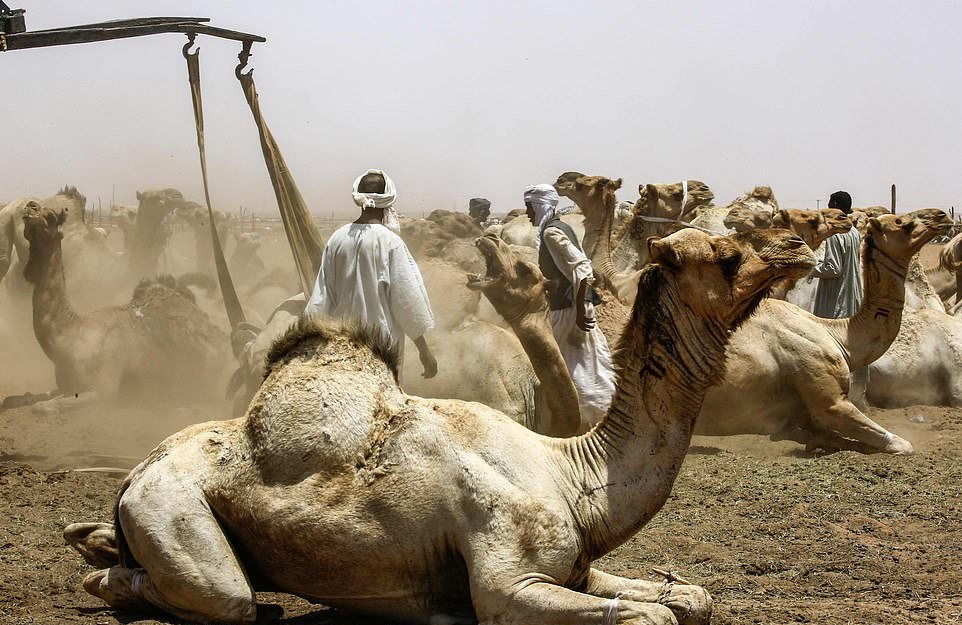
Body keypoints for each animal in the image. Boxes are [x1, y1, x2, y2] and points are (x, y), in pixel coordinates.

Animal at [62, 224, 808, 624]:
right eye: (728, 257)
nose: (797, 248)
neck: (573, 473)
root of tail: (137, 469)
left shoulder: (575, 566)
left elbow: (693, 598)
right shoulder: (509, 581)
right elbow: (650, 612)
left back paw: (97, 545)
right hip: (171, 506)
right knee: (224, 596)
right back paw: (113, 579)